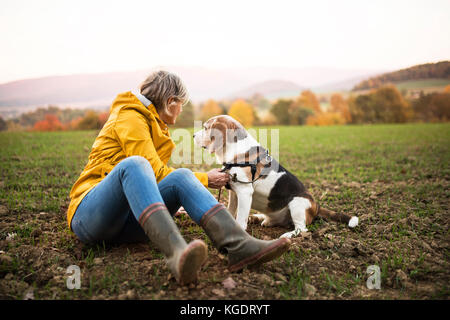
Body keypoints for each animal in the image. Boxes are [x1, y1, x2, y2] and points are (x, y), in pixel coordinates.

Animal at [193, 115, 358, 238]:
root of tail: (316, 205)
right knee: (272, 220)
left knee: (302, 228)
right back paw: (258, 218)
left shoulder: (244, 192)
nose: (193, 135)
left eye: (206, 128)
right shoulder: (233, 191)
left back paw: (288, 235)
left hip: (297, 202)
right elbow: (231, 211)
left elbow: (240, 218)